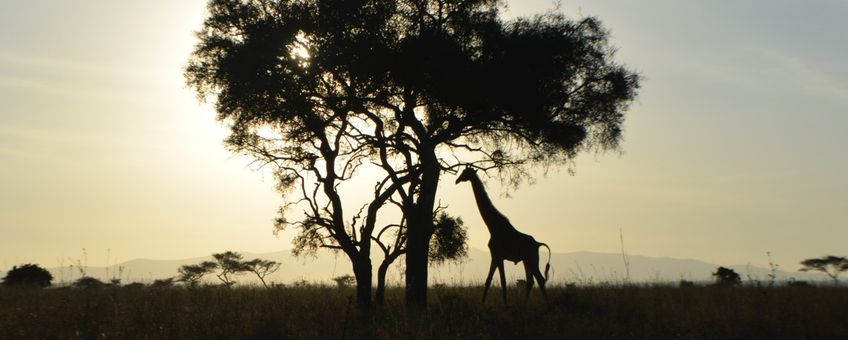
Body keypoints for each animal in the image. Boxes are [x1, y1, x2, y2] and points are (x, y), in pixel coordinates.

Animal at [454, 167, 552, 302]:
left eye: (465, 173)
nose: (457, 180)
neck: (492, 226)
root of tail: (537, 244)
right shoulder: (496, 256)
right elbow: (488, 281)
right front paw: (483, 303)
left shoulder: (497, 255)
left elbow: (502, 281)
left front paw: (504, 304)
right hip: (526, 260)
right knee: (531, 281)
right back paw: (524, 304)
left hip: (531, 259)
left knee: (540, 279)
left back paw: (547, 305)